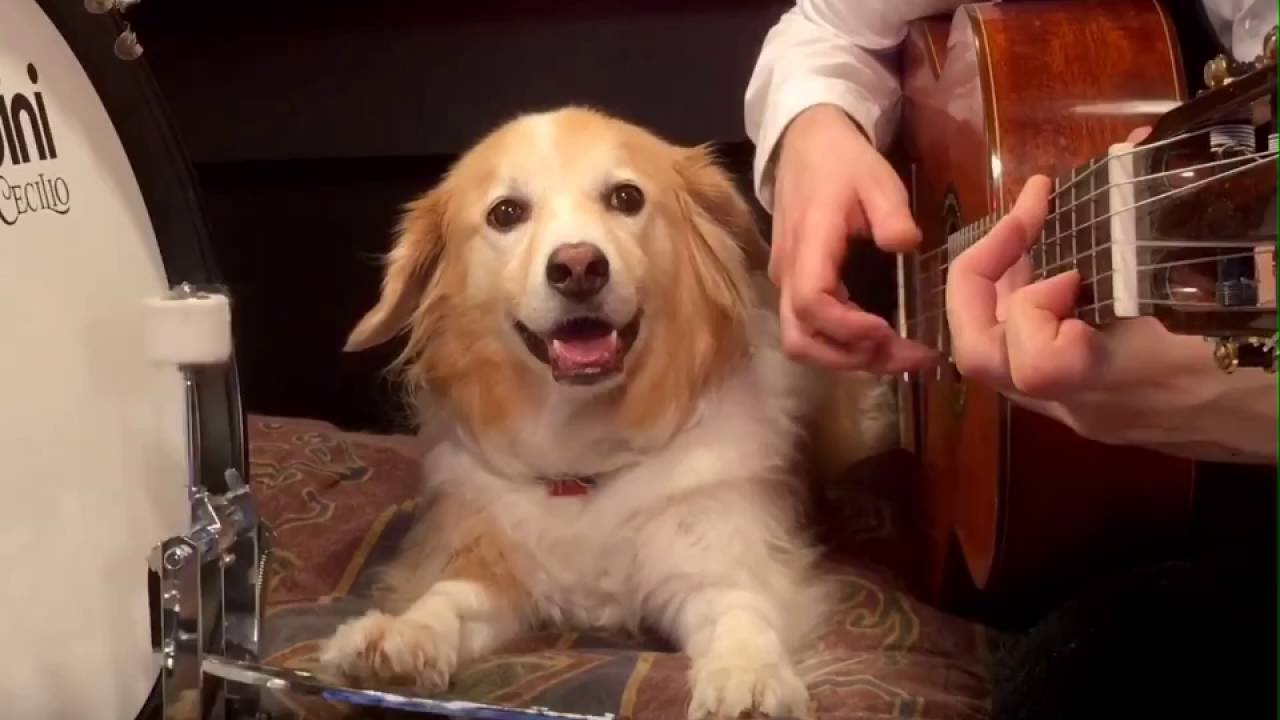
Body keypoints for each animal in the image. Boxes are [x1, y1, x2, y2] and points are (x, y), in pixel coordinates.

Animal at [320, 106, 901, 717]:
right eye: (506, 213)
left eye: (626, 197)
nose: (578, 267)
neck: (585, 464)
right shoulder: (494, 563)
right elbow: (448, 597)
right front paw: (402, 634)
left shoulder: (716, 558)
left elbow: (740, 613)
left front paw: (749, 674)